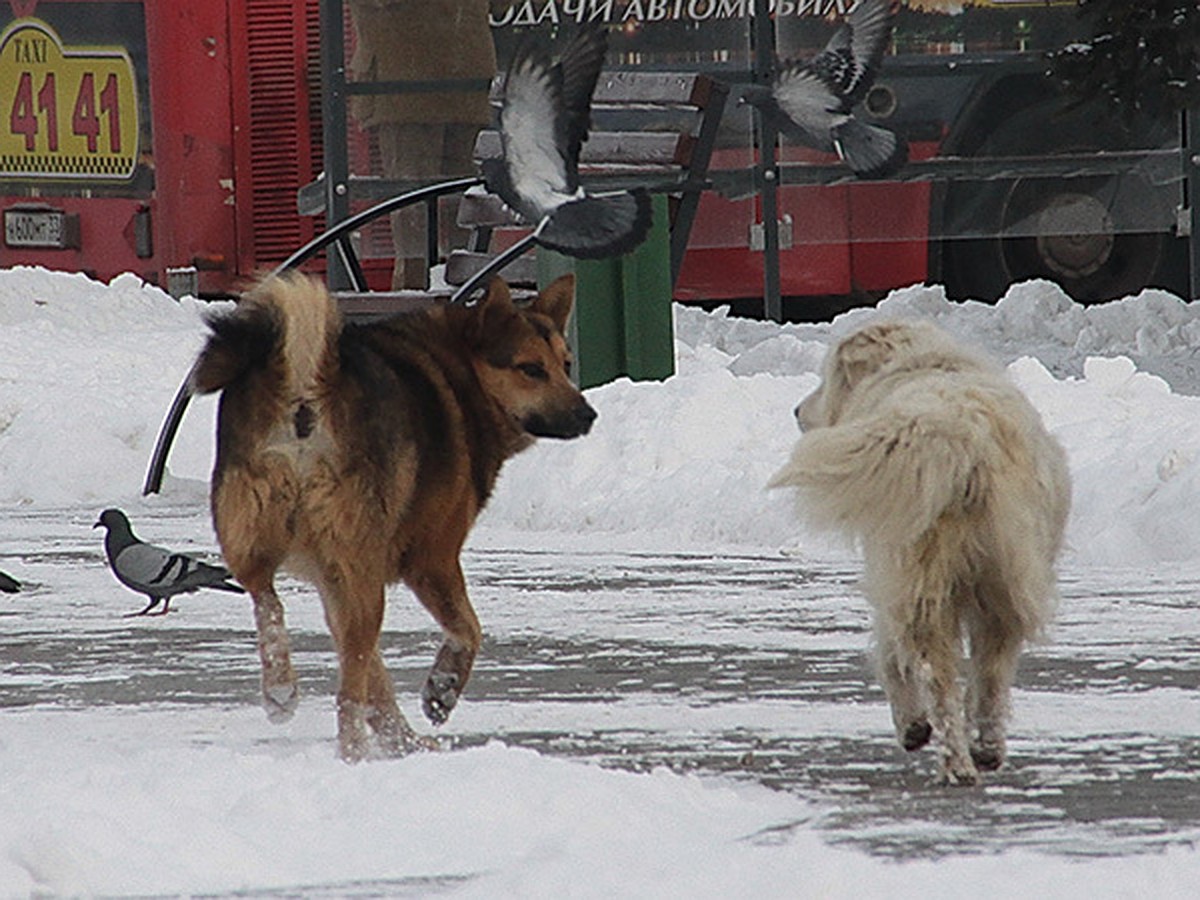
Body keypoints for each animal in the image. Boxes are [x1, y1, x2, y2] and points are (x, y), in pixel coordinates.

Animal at [190, 273, 595, 763]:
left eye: (566, 364)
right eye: (531, 369)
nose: (587, 415)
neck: (462, 374)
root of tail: (307, 382)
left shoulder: (334, 579)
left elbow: (375, 676)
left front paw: (402, 740)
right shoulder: (432, 559)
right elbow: (468, 630)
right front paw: (441, 693)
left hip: (254, 530)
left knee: (267, 600)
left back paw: (281, 690)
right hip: (361, 565)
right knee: (347, 689)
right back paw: (352, 753)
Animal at [772, 321, 1075, 787]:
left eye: (828, 376)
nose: (796, 411)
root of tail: (959, 431)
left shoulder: (887, 574)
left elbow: (889, 655)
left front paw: (912, 726)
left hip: (918, 577)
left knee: (939, 678)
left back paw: (954, 762)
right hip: (1006, 578)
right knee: (991, 673)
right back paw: (984, 750)